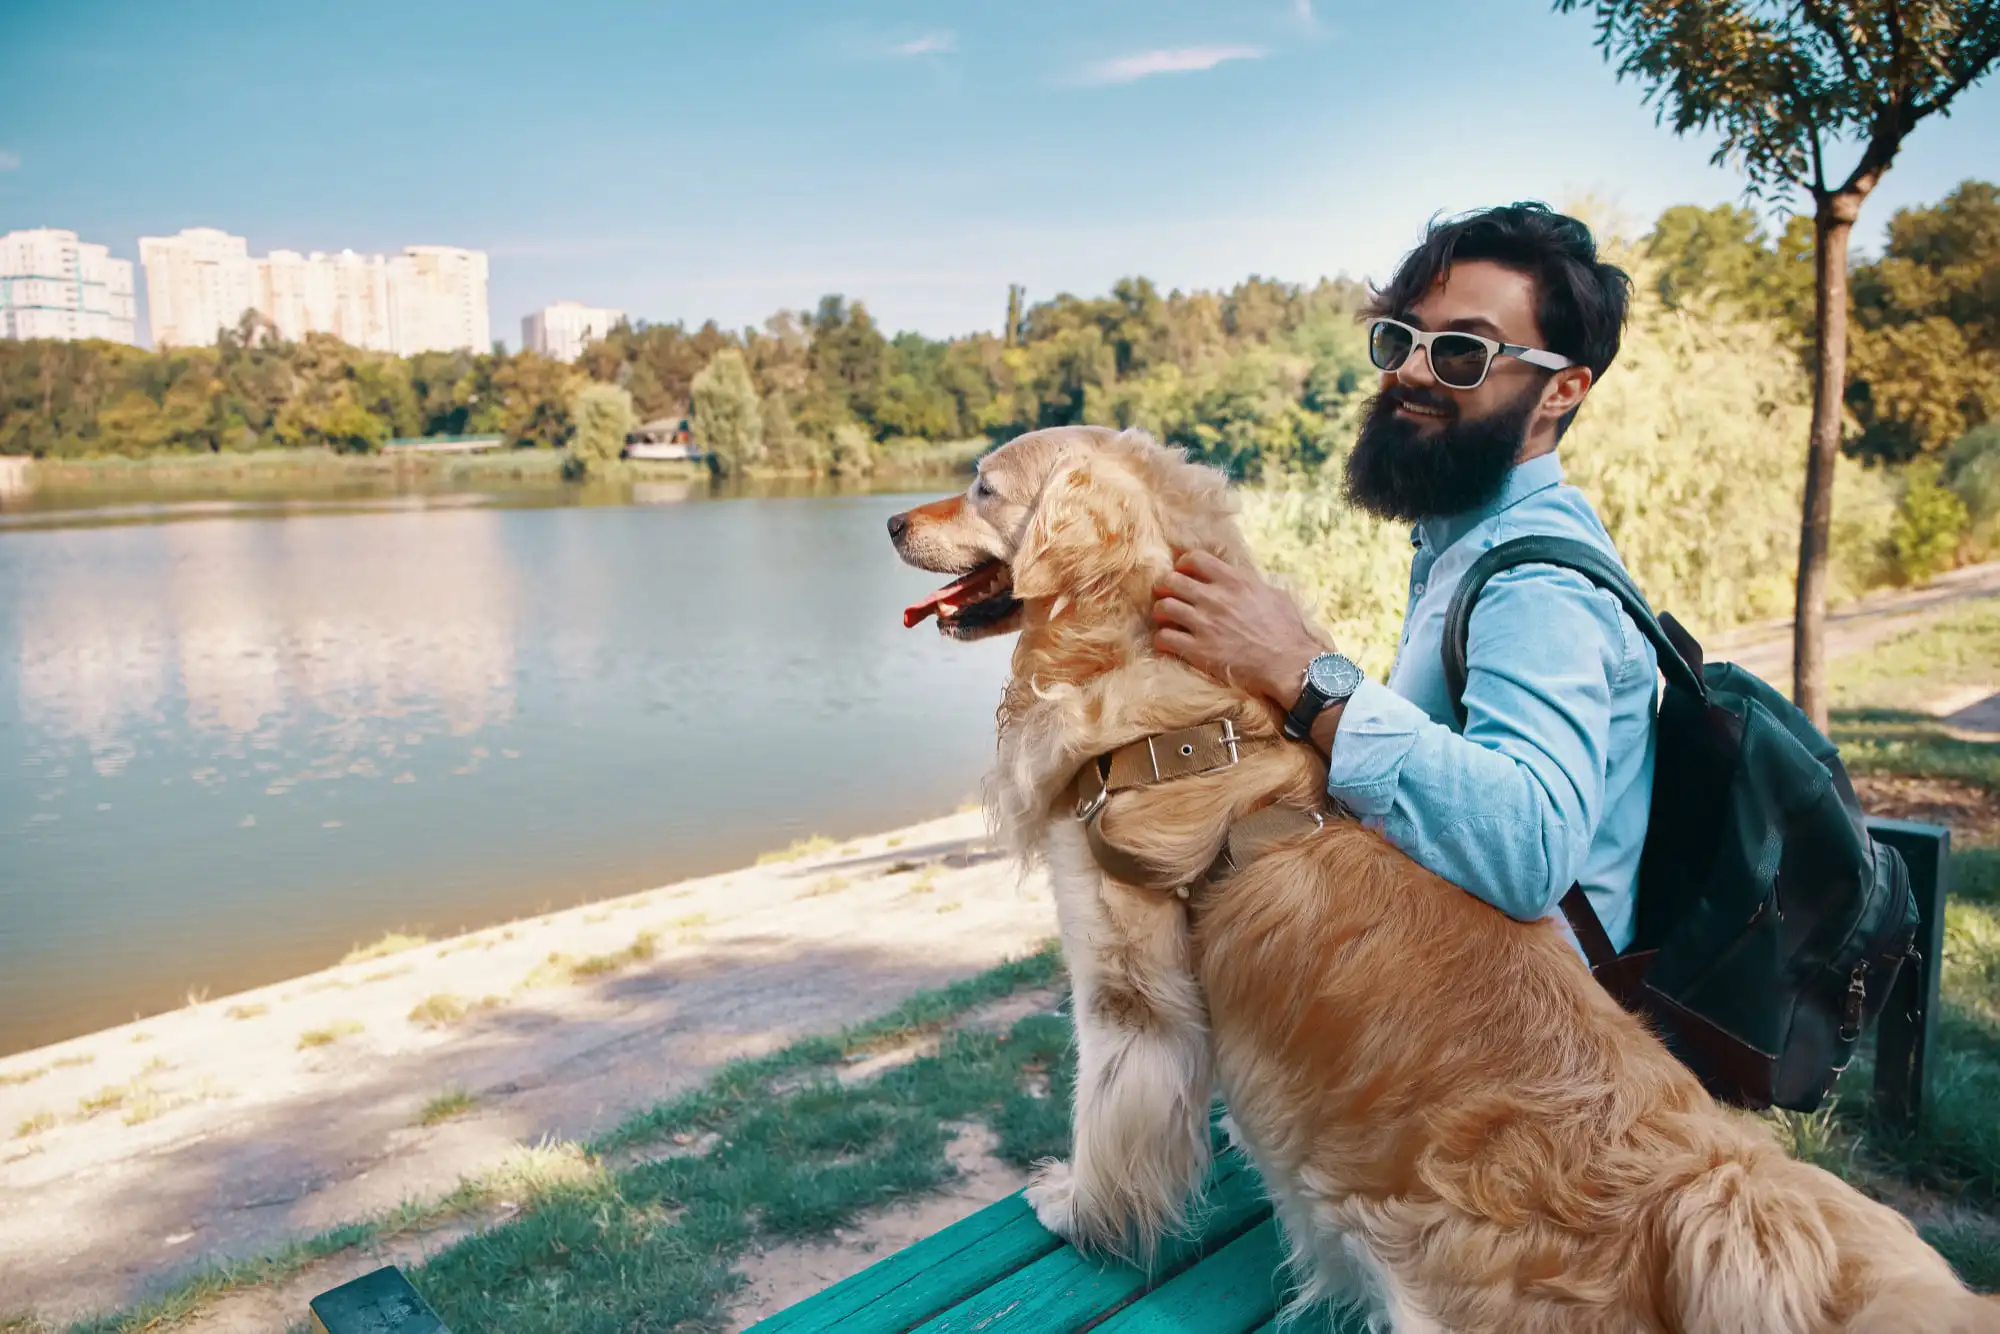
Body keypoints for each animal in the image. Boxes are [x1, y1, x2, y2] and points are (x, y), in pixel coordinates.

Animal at [892, 428, 2000, 1334]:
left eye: (982, 484)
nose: (894, 517)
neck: (1182, 705)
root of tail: (1706, 1189)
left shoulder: (1127, 989)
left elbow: (1103, 1118)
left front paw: (1070, 1207)